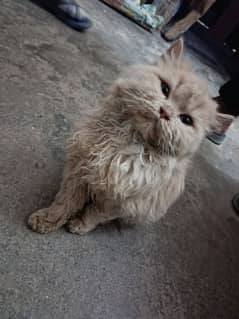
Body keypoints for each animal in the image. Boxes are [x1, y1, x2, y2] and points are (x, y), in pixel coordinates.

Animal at [27, 39, 217, 235]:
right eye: (165, 88)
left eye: (186, 120)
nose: (165, 112)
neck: (124, 139)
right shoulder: (80, 170)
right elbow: (65, 202)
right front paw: (47, 219)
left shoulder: (121, 201)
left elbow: (94, 214)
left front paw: (80, 224)